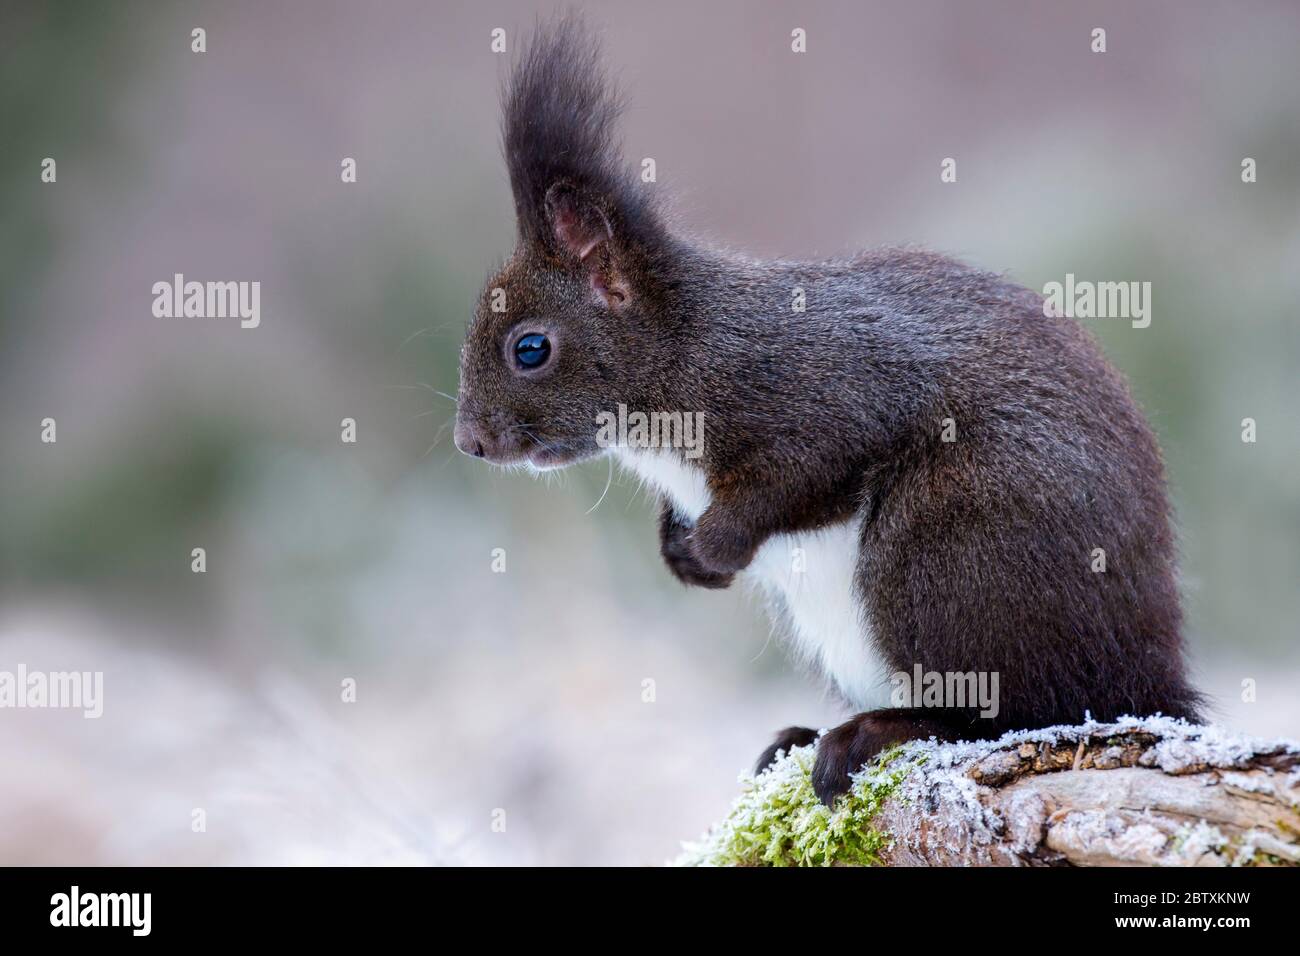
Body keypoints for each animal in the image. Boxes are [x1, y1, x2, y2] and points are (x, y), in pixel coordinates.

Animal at [453, 16, 1203, 804]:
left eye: (530, 348)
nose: (469, 440)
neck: (685, 353)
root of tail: (1147, 674)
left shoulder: (826, 390)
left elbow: (799, 474)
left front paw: (714, 545)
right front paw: (681, 554)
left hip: (950, 549)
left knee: (1014, 710)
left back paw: (876, 732)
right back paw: (800, 735)